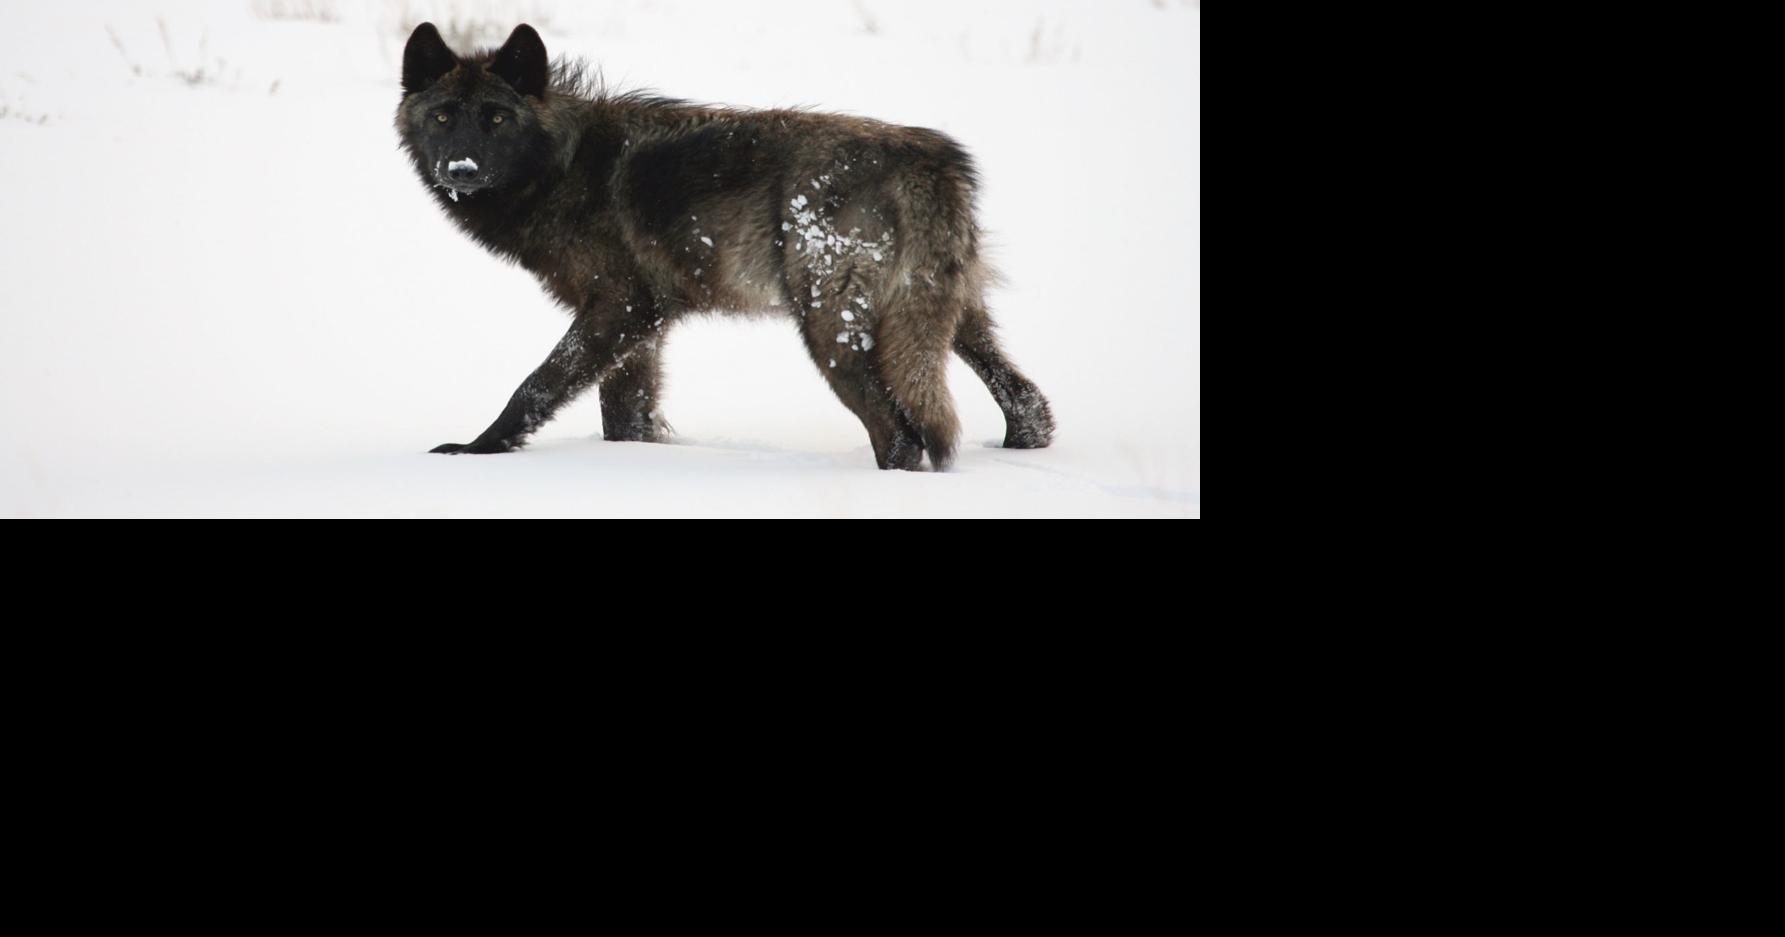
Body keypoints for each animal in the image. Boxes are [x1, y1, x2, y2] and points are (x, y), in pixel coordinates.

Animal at [396, 23, 1053, 470]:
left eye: (497, 119)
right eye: (444, 117)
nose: (461, 169)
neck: (562, 166)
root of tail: (928, 159)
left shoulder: (618, 308)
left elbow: (535, 384)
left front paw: (476, 450)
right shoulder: (643, 326)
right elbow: (625, 416)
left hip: (832, 334)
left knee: (901, 434)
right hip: (949, 319)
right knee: (1027, 401)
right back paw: (1021, 446)